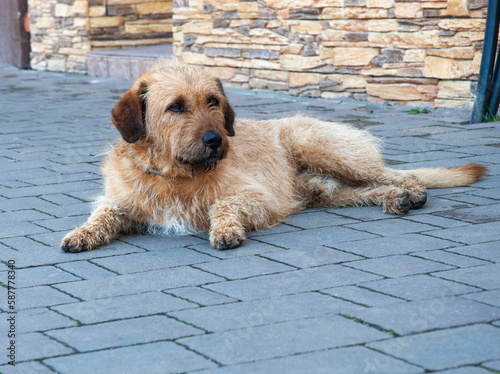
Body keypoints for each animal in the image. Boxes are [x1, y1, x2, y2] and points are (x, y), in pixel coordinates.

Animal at [60, 60, 486, 253]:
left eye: (212, 101)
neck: (175, 175)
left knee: (395, 173)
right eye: (176, 107)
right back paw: (394, 199)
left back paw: (411, 192)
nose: (215, 140)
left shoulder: (257, 197)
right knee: (363, 189)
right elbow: (104, 212)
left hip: (320, 146)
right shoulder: (124, 202)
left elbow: (223, 204)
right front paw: (81, 233)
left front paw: (225, 229)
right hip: (325, 191)